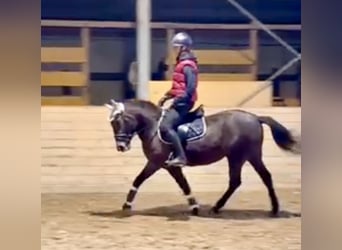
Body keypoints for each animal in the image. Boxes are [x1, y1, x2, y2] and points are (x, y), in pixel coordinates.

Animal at [104, 98, 300, 216]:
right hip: (242, 156)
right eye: (112, 123)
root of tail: (255, 117)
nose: (121, 147)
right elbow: (183, 185)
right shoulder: (168, 166)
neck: (154, 127)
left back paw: (273, 208)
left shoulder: (158, 162)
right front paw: (194, 206)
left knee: (254, 178)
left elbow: (140, 179)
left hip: (243, 155)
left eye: (118, 121)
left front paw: (127, 205)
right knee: (246, 180)